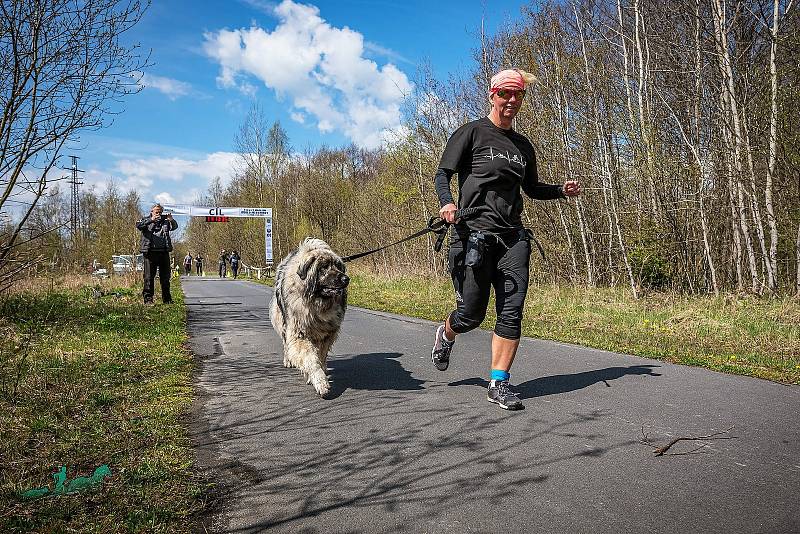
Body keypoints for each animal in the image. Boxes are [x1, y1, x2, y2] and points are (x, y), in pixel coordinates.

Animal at [270, 239, 348, 398]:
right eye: (324, 267)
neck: (316, 303)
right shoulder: (299, 334)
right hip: (284, 323)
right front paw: (320, 382)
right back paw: (288, 360)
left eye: (339, 267)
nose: (346, 278)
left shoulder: (327, 335)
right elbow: (311, 359)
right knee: (286, 344)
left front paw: (319, 374)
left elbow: (320, 356)